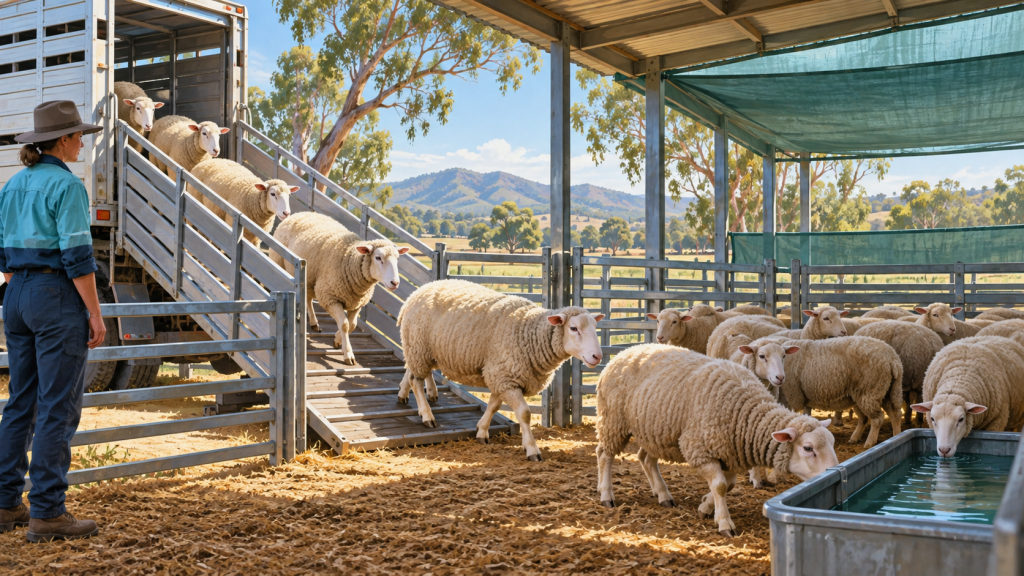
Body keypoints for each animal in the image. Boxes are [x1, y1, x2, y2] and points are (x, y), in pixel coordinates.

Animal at [271, 212, 409, 365]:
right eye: (378, 257)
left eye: (397, 258)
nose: (395, 282)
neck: (350, 260)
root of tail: (299, 214)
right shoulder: (330, 297)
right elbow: (344, 325)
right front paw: (348, 354)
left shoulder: (357, 303)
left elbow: (352, 324)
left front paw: (337, 340)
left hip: (310, 278)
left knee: (308, 298)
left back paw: (314, 323)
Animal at [397, 279, 603, 457]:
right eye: (573, 328)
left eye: (595, 327)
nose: (597, 356)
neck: (529, 333)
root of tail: (416, 293)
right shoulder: (506, 376)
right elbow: (524, 414)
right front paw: (532, 449)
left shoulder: (501, 377)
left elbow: (494, 405)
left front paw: (481, 431)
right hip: (419, 345)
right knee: (416, 380)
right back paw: (426, 415)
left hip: (421, 349)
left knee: (410, 369)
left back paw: (404, 394)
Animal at [595, 344, 837, 536]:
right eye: (808, 448)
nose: (834, 473)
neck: (746, 412)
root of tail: (623, 352)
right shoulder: (700, 448)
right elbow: (720, 486)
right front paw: (724, 523)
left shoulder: (728, 453)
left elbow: (728, 485)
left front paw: (705, 507)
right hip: (613, 420)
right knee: (604, 454)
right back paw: (606, 495)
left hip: (654, 430)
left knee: (646, 459)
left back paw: (663, 495)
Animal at [737, 336, 904, 448]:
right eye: (761, 356)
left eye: (784, 356)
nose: (780, 377)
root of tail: (893, 358)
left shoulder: (792, 397)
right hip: (881, 391)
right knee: (891, 414)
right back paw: (893, 436)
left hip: (870, 390)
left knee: (878, 419)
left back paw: (869, 443)